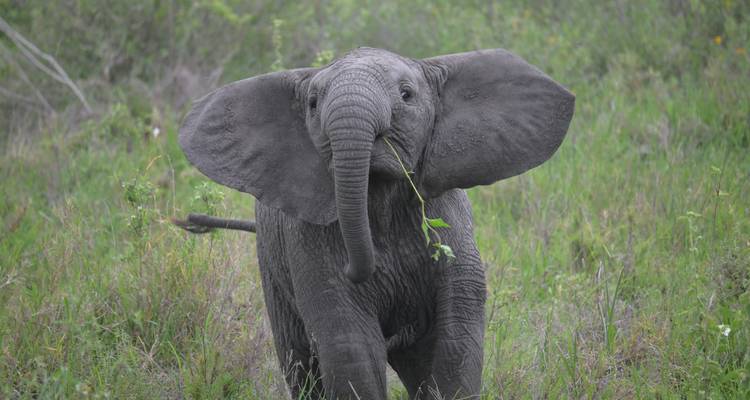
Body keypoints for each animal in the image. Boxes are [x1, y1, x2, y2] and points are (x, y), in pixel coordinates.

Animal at [176, 47, 574, 399]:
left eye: (406, 95)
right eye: (313, 103)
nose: (358, 267)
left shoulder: (449, 223)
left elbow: (457, 334)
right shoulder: (309, 241)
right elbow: (350, 344)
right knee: (300, 364)